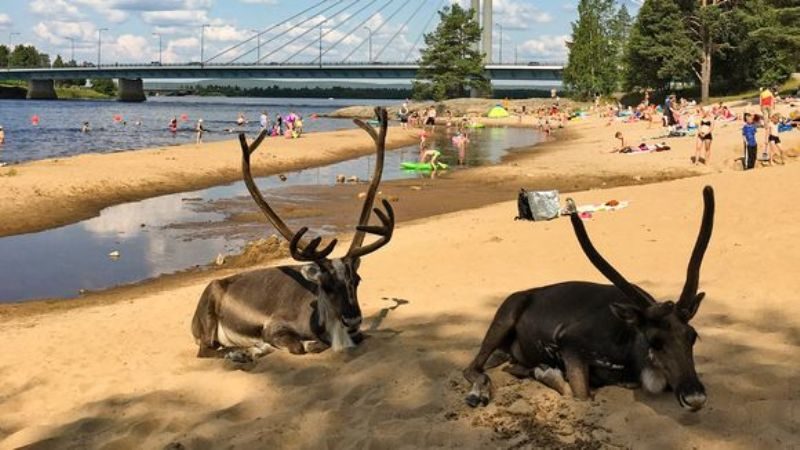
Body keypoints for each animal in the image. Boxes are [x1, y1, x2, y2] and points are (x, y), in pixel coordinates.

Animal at [191, 107, 394, 363]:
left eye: (356, 280)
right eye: (326, 285)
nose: (353, 320)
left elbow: (356, 337)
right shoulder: (273, 327)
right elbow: (300, 346)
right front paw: (306, 344)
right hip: (209, 316)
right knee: (206, 349)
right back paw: (239, 353)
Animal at [464, 186, 715, 412]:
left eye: (692, 336)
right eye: (654, 340)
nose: (695, 398)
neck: (629, 350)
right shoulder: (569, 344)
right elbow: (581, 395)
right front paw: (549, 373)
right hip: (505, 315)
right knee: (472, 367)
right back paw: (478, 394)